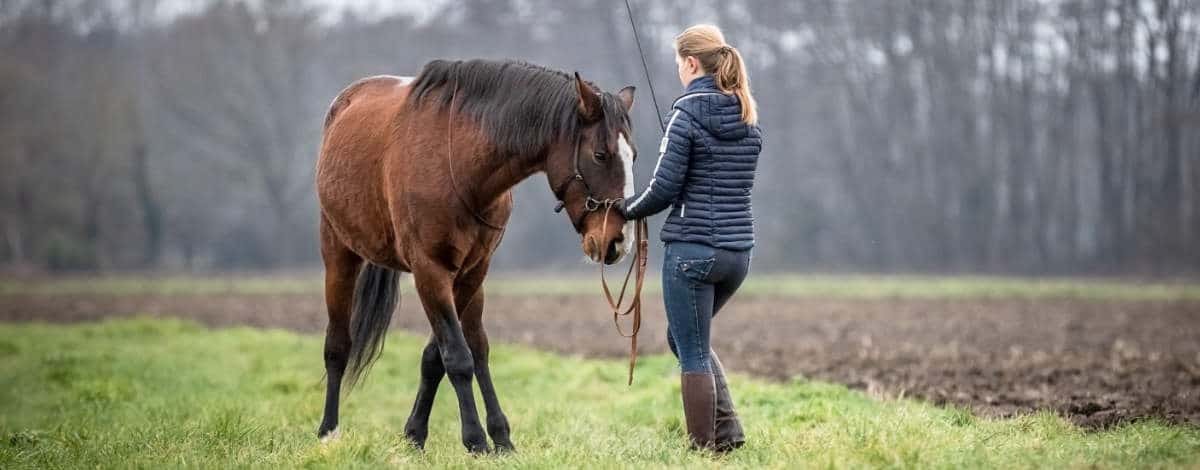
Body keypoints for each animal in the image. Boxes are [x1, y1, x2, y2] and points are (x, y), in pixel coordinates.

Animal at [316, 58, 638, 450]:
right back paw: (328, 430)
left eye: (633, 156)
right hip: (338, 254)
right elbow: (457, 356)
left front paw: (431, 434)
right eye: (600, 155)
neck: (461, 166)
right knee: (337, 346)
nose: (618, 241)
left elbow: (452, 354)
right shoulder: (430, 271)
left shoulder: (472, 272)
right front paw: (475, 439)